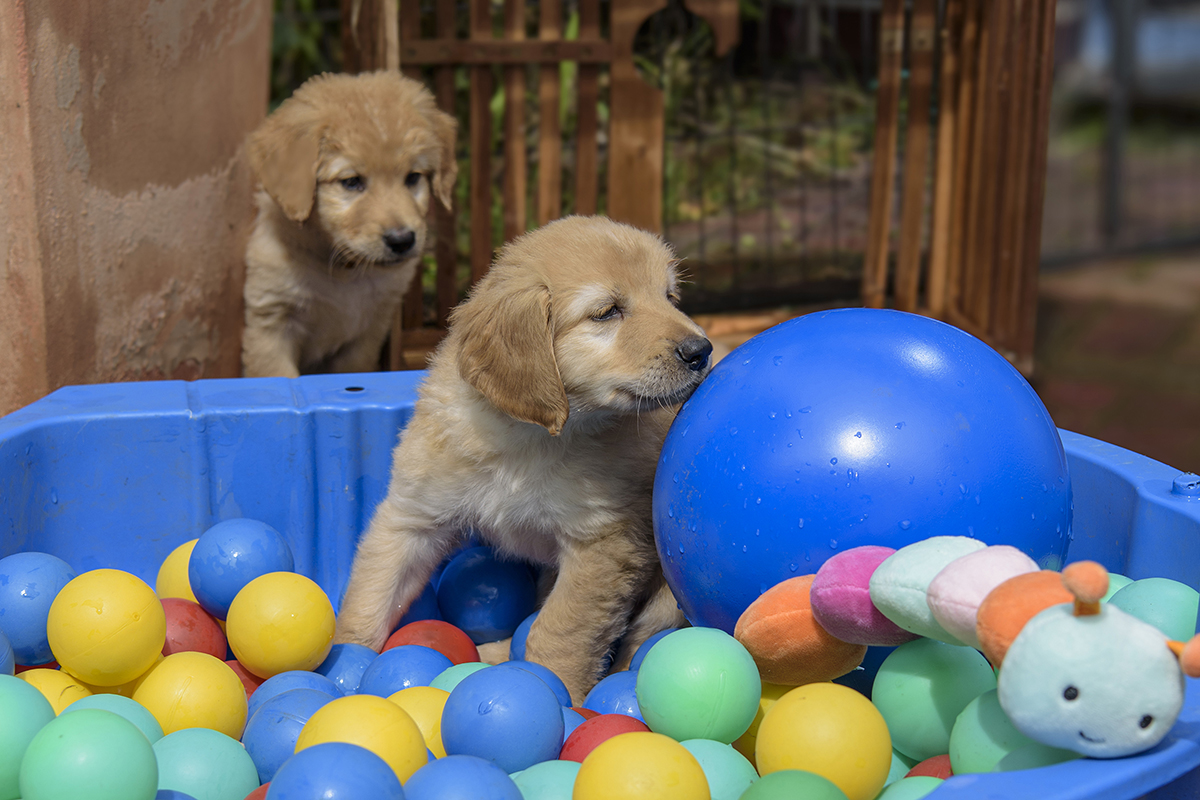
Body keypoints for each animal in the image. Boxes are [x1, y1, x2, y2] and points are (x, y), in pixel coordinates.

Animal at [241, 71, 457, 378]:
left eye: (413, 177)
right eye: (352, 182)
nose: (402, 240)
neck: (343, 271)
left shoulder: (367, 334)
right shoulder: (272, 323)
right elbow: (277, 376)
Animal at [334, 215, 715, 703]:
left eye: (669, 297)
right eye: (607, 312)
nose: (701, 351)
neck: (527, 440)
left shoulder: (603, 544)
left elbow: (559, 632)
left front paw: (564, 698)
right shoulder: (413, 517)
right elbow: (370, 598)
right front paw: (343, 659)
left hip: (667, 596)